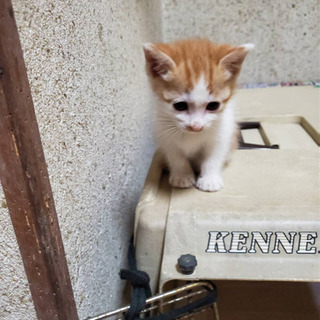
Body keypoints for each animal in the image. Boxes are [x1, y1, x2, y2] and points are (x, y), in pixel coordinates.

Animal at [144, 38, 254, 191]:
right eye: (180, 106)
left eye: (213, 105)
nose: (196, 126)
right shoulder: (165, 135)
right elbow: (176, 156)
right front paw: (182, 176)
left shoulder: (222, 134)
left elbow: (213, 157)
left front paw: (210, 179)